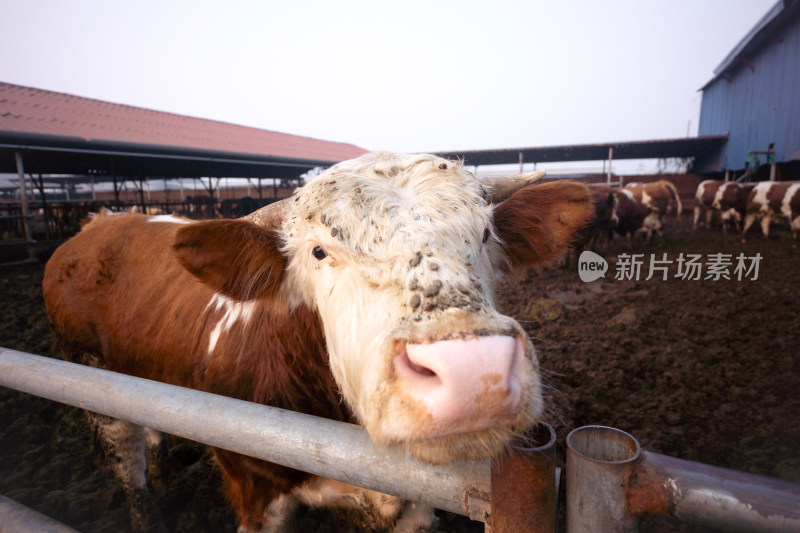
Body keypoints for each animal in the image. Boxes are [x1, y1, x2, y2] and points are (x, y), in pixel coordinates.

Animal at [43, 151, 592, 532]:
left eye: (484, 235)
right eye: (319, 252)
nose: (473, 370)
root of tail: (100, 223)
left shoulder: (416, 503)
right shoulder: (253, 487)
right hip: (91, 380)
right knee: (127, 462)